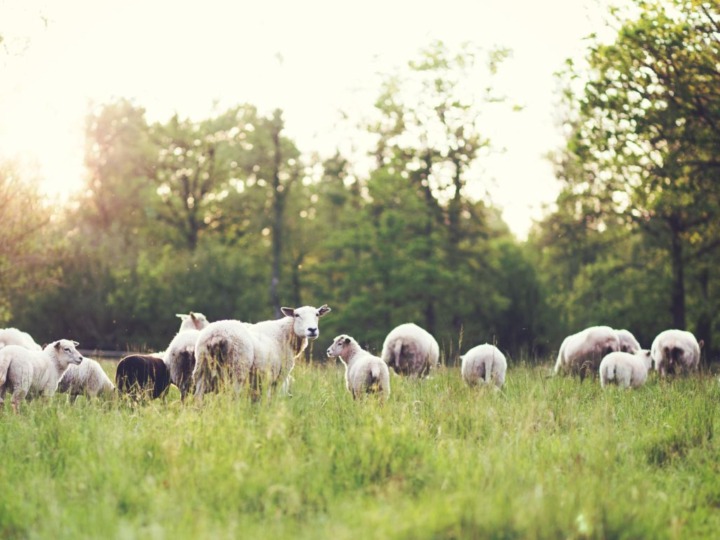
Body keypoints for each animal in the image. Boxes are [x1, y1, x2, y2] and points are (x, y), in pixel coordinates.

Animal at [193, 304, 331, 400]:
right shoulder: (279, 377)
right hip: (238, 369)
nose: (312, 330)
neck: (286, 334)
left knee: (198, 398)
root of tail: (217, 335)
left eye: (317, 314)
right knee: (233, 397)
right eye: (297, 315)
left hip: (202, 369)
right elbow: (271, 398)